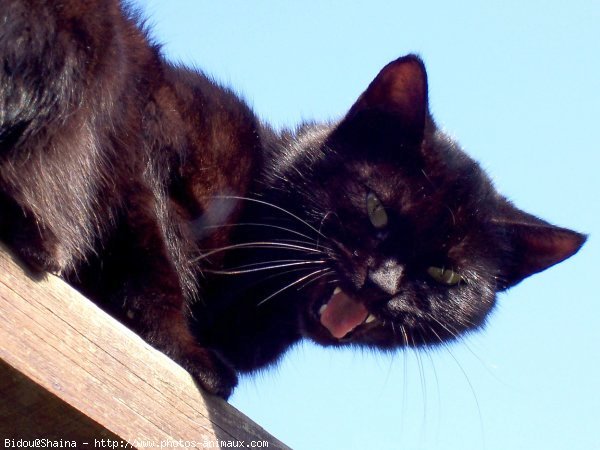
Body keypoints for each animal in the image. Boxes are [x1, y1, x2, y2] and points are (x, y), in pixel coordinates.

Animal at [0, 0, 584, 400]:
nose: (381, 285)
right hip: (104, 39)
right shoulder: (153, 126)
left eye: (445, 275)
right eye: (375, 210)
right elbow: (153, 247)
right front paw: (184, 347)